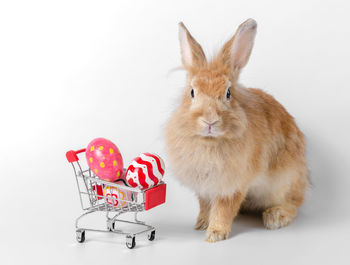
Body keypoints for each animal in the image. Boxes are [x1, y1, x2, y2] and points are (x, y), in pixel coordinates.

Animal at [165, 18, 308, 241]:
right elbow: (205, 205)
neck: (209, 141)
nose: (210, 121)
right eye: (192, 92)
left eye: (228, 93)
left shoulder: (232, 185)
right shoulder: (204, 187)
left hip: (285, 182)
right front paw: (201, 224)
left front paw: (215, 234)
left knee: (294, 203)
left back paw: (275, 217)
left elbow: (224, 209)